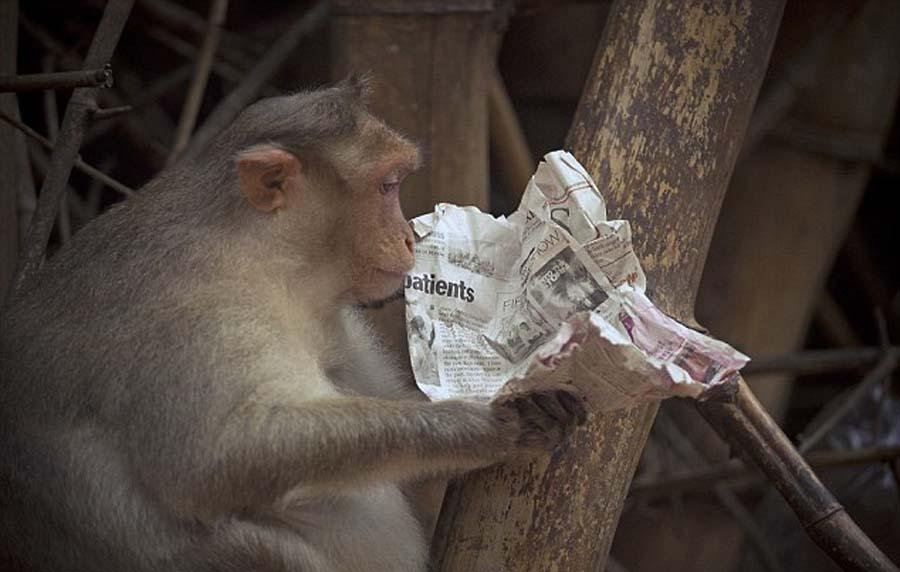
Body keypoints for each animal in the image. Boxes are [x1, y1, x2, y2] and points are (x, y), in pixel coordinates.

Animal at [0, 77, 588, 572]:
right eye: (388, 185)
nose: (408, 236)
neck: (270, 261)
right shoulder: (192, 311)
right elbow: (211, 458)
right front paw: (484, 425)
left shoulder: (333, 313)